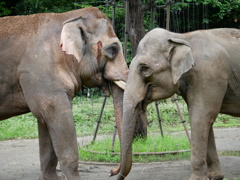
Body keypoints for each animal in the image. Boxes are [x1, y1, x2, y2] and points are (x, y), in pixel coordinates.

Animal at [0, 7, 128, 180]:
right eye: (113, 49)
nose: (111, 171)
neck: (67, 17)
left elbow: (45, 121)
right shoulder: (39, 72)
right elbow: (58, 116)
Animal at [112, 27, 240, 179]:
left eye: (144, 68)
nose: (112, 171)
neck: (180, 37)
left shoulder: (210, 76)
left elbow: (200, 118)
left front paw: (197, 179)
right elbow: (205, 120)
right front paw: (215, 177)